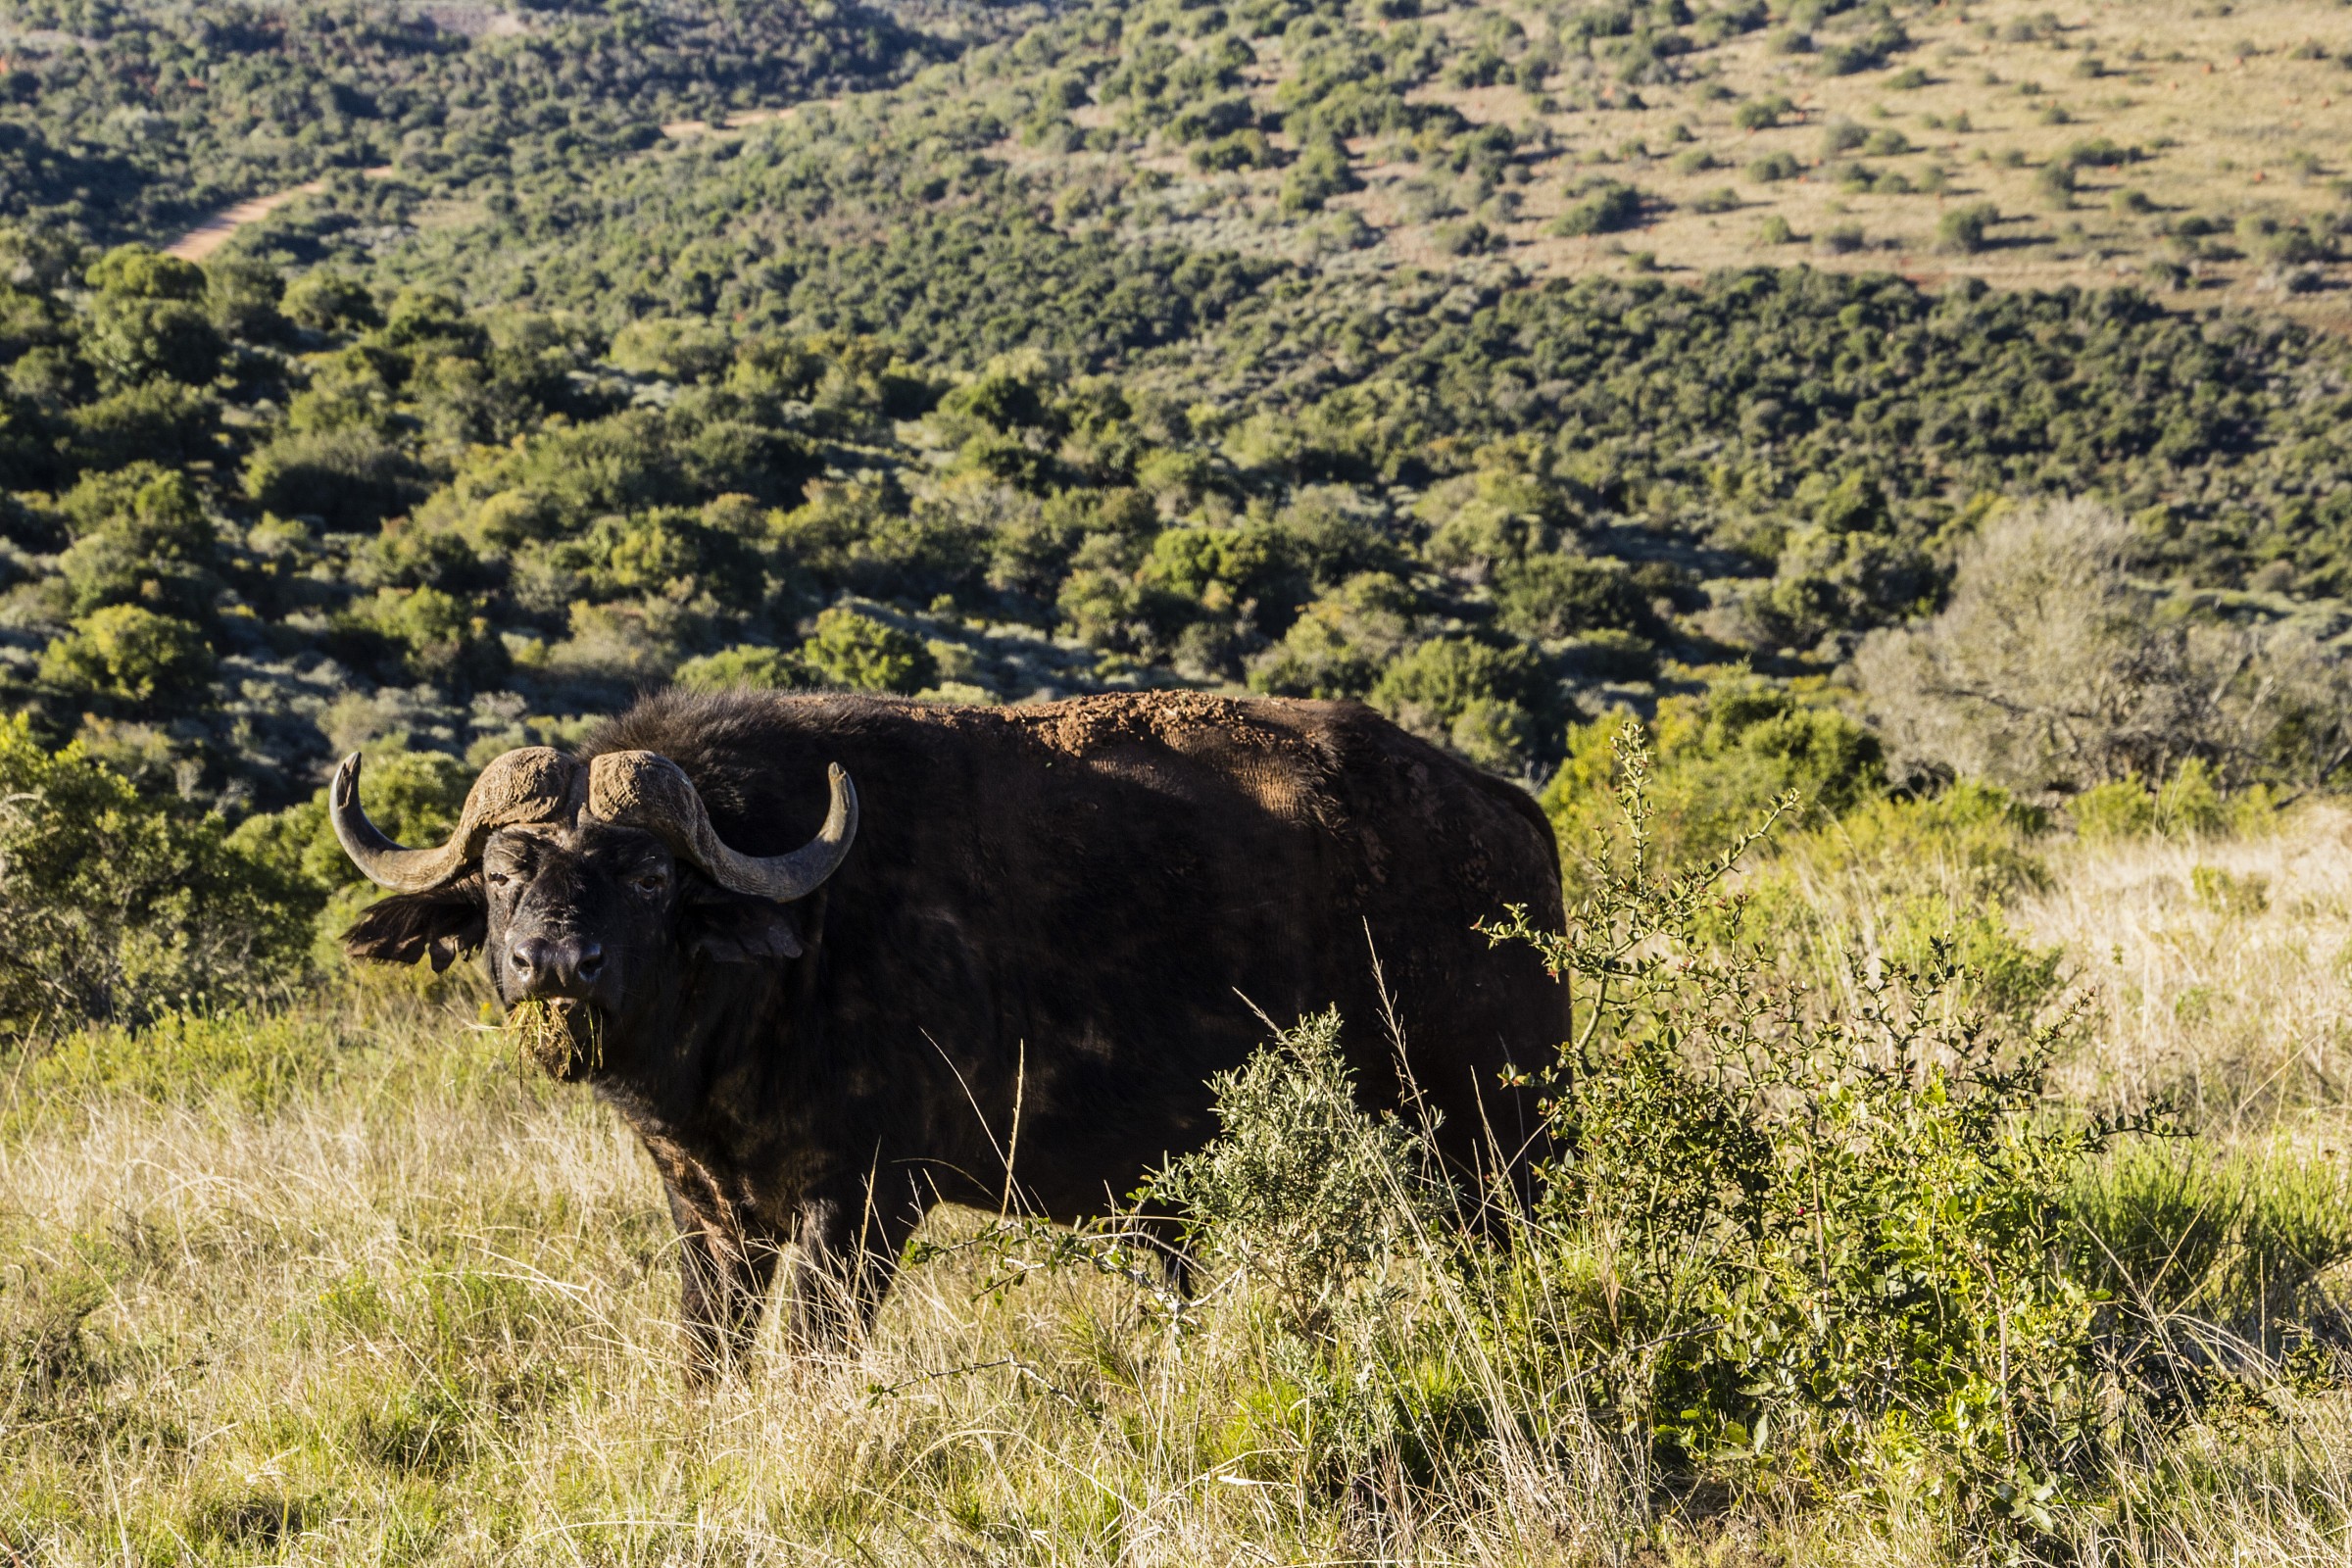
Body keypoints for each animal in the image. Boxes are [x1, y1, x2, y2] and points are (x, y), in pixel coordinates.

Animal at [333, 689, 1566, 1373]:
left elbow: (812, 1359)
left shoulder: (865, 1205)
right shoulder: (711, 1215)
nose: (553, 964)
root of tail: (1504, 817)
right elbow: (709, 1356)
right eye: (503, 872)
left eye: (646, 873)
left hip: (1493, 1149)